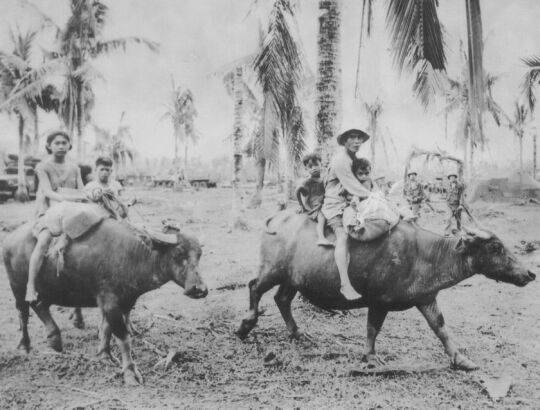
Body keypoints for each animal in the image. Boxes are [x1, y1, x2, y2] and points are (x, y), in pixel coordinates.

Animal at [2, 218, 208, 385]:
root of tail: (9, 240)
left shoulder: (122, 303)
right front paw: (130, 373)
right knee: (24, 312)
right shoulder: (110, 303)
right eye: (178, 254)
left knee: (39, 306)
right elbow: (123, 338)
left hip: (45, 291)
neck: (133, 255)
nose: (199, 289)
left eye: (199, 255)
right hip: (17, 287)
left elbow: (107, 330)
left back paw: (54, 339)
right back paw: (25, 345)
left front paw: (104, 356)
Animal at [237, 211, 535, 370]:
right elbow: (373, 328)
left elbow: (441, 328)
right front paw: (370, 357)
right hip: (271, 270)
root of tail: (277, 217)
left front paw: (462, 359)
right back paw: (245, 326)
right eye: (495, 247)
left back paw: (299, 334)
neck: (426, 254)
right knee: (254, 287)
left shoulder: (427, 299)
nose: (530, 274)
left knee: (282, 299)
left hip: (293, 279)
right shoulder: (378, 302)